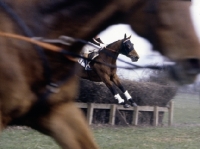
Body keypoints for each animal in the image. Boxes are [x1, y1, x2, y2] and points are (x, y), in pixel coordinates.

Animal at [0, 0, 200, 149]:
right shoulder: (104, 78)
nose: (136, 57)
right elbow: (113, 90)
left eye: (133, 45)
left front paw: (131, 101)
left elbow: (122, 87)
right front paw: (122, 103)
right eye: (128, 45)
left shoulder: (113, 77)